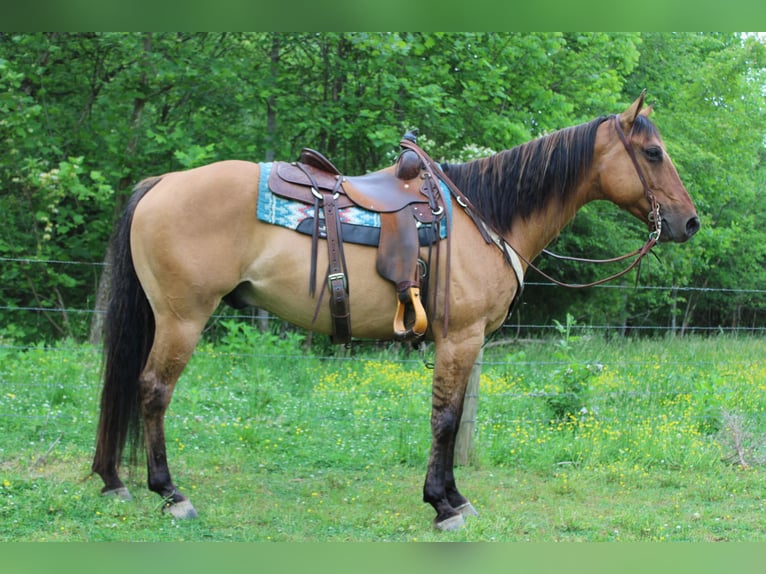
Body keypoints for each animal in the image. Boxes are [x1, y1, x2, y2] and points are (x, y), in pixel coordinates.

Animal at [91, 93, 704, 532]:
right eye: (653, 153)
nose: (690, 222)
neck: (488, 214)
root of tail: (161, 183)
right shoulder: (460, 338)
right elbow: (445, 419)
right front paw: (443, 505)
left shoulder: (463, 342)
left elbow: (448, 419)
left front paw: (453, 496)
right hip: (182, 319)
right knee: (152, 390)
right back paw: (171, 494)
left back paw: (113, 480)